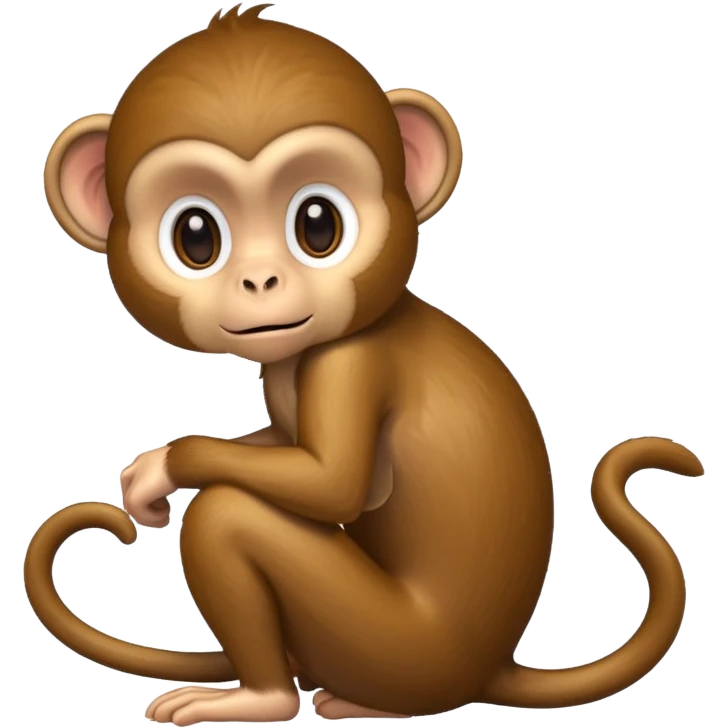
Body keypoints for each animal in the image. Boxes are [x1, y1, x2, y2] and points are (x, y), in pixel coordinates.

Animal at [27, 3, 704, 724]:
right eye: (196, 237)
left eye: (319, 225)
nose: (260, 281)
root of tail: (489, 670)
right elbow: (285, 444)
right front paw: (150, 468)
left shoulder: (350, 363)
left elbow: (329, 481)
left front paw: (168, 466)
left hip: (391, 647)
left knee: (228, 517)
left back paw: (269, 698)